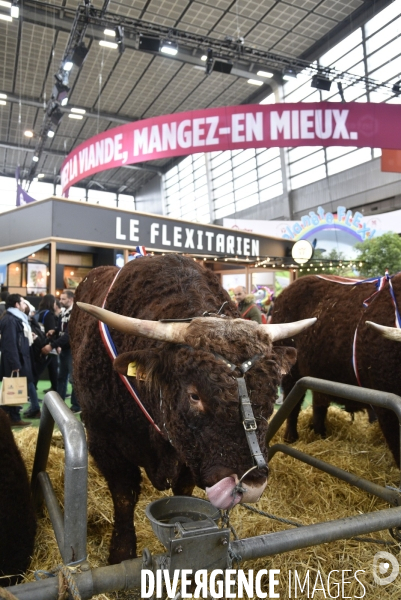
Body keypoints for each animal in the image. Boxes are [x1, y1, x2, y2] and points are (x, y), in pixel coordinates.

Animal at [68, 253, 312, 564]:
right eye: (194, 395)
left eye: (271, 392)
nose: (251, 485)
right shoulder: (105, 441)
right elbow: (123, 496)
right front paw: (121, 554)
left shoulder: (188, 456)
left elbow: (182, 490)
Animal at [274, 274, 400, 466]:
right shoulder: (387, 409)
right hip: (291, 372)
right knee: (292, 404)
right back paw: (291, 438)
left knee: (319, 404)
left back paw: (320, 433)